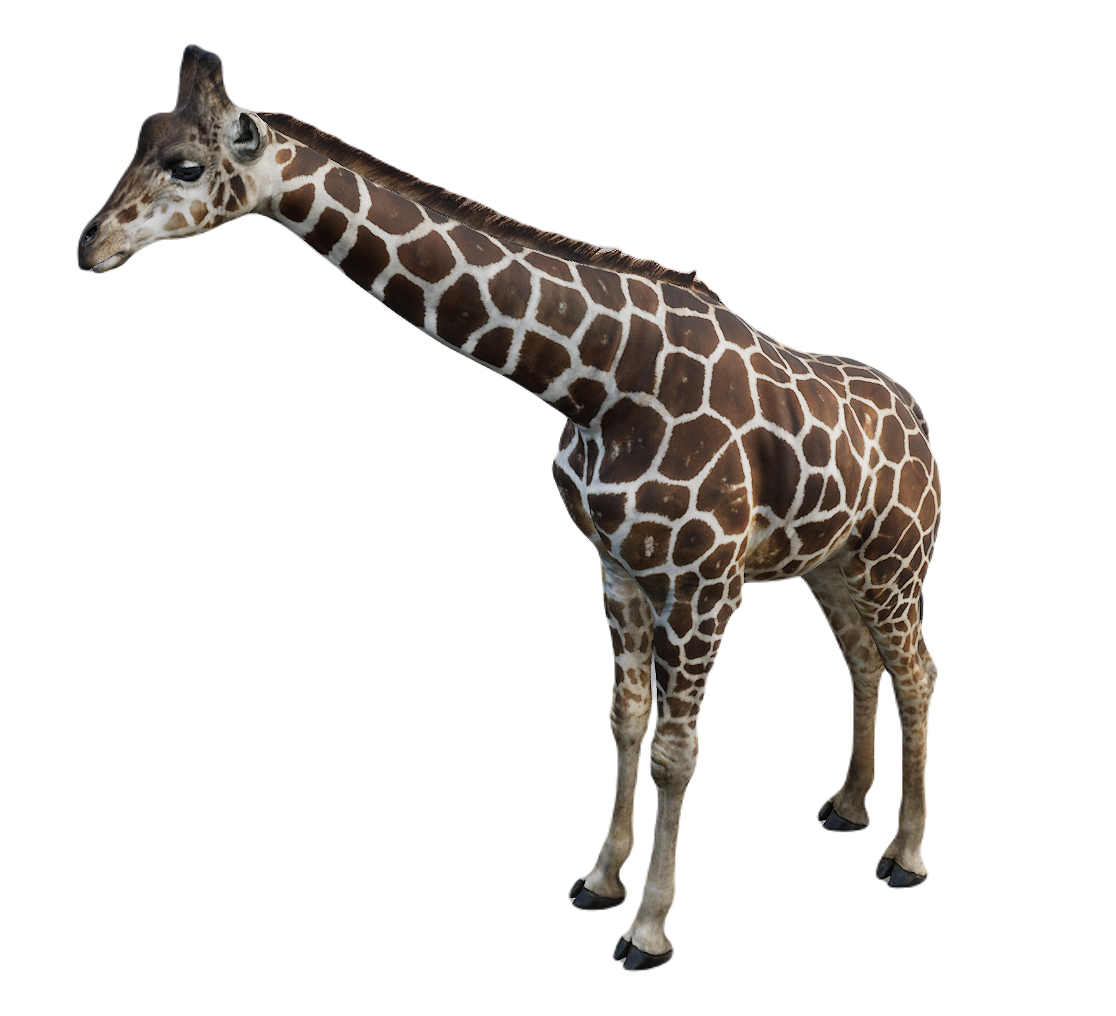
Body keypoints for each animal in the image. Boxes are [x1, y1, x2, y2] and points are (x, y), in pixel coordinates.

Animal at [77, 45, 942, 970]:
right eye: (139, 139)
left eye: (186, 164)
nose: (91, 244)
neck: (601, 382)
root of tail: (921, 421)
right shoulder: (617, 568)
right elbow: (624, 723)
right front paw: (599, 882)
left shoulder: (703, 585)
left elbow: (677, 753)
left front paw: (648, 930)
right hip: (832, 567)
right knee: (863, 661)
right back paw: (847, 811)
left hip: (896, 561)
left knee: (917, 671)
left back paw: (904, 856)